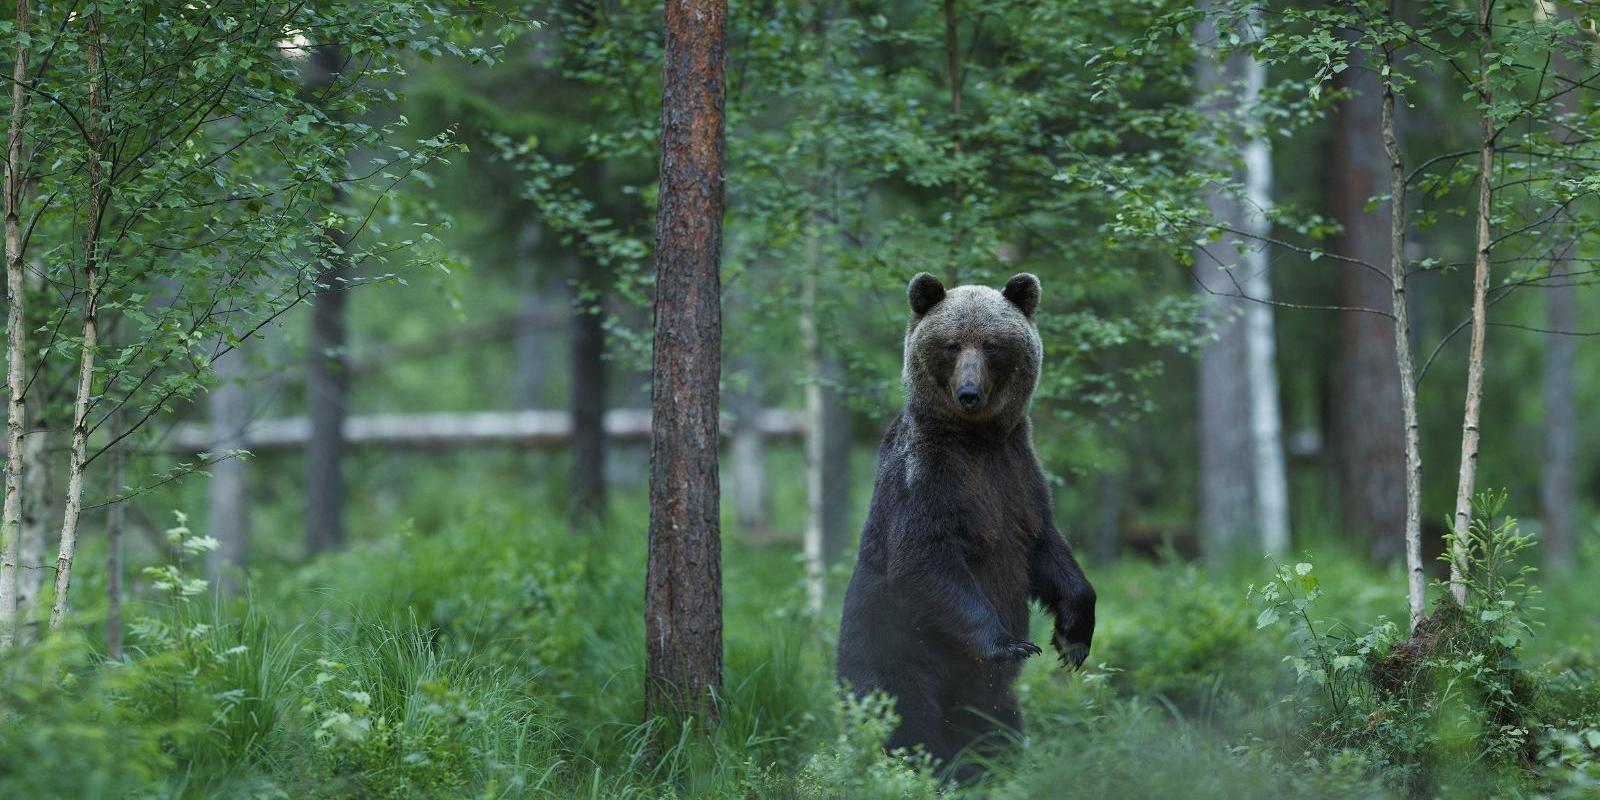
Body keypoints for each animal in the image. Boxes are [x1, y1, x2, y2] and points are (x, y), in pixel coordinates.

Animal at [832, 272, 1094, 771]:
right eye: (952, 345)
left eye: (992, 344)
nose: (968, 393)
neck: (978, 440)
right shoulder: (926, 479)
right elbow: (924, 560)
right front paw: (1009, 642)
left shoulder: (1019, 477)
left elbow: (1047, 549)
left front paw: (1072, 637)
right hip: (894, 644)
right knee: (905, 719)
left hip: (987, 697)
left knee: (996, 724)